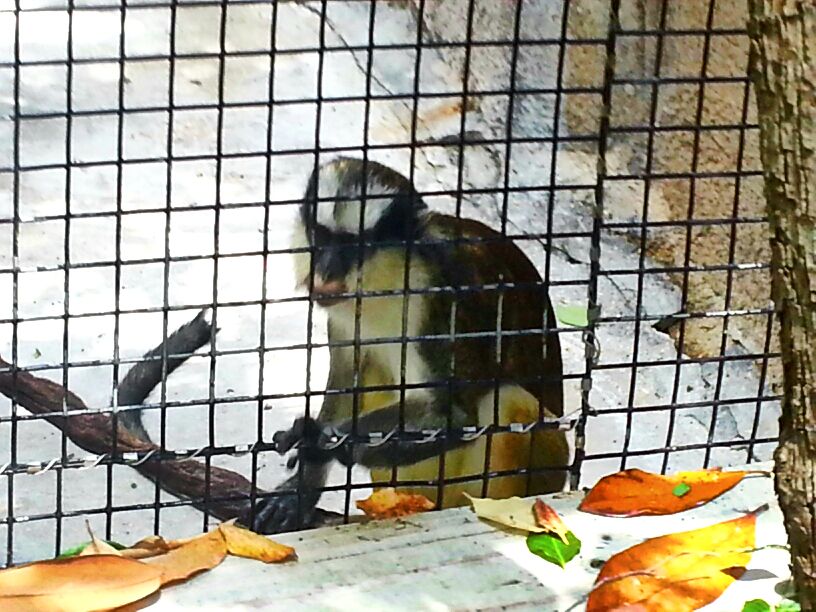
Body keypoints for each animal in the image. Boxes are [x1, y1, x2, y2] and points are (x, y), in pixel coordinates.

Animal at [251, 156, 569, 534]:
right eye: (323, 237)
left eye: (353, 247)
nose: (326, 270)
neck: (393, 276)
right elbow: (346, 379)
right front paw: (301, 490)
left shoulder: (442, 297)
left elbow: (454, 417)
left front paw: (320, 440)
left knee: (508, 400)